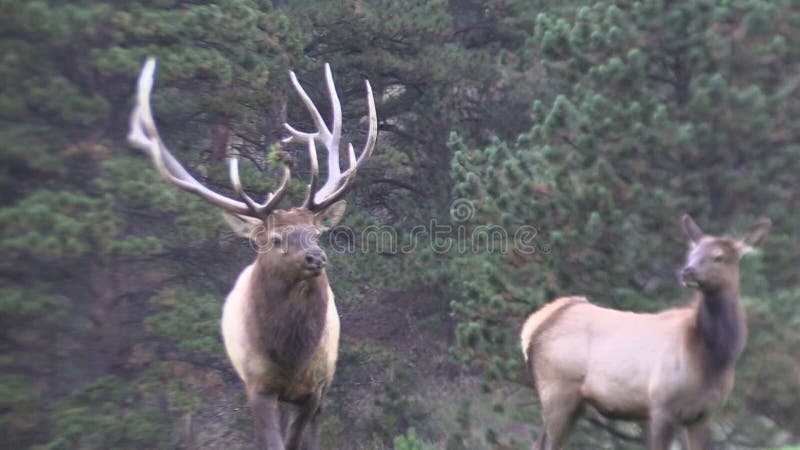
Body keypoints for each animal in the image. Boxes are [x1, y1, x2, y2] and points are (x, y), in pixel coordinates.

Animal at [128, 58, 378, 448]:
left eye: (316, 234)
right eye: (275, 239)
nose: (316, 259)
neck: (291, 355)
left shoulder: (314, 387)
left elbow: (298, 440)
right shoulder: (258, 384)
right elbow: (272, 442)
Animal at [520, 214, 768, 450]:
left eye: (719, 256)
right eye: (692, 253)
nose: (687, 271)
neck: (712, 356)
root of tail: (534, 325)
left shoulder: (703, 414)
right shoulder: (661, 404)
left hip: (574, 401)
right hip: (557, 389)